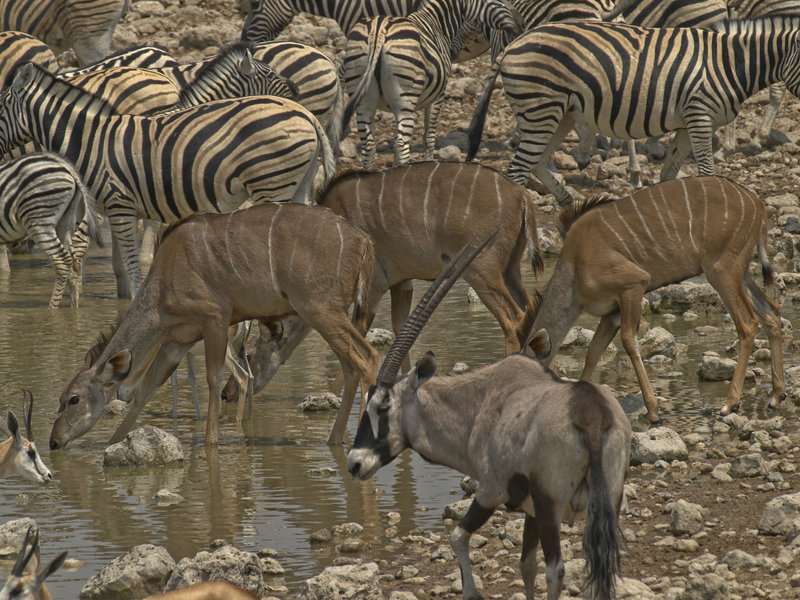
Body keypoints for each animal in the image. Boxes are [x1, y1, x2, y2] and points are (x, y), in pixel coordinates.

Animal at [0, 152, 101, 309]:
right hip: (65, 221)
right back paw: (74, 307)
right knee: (73, 262)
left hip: (39, 218)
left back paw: (52, 308)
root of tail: (67, 168)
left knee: (62, 260)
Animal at [341, 0, 522, 168]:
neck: (436, 22)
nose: (521, 24)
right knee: (401, 144)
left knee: (369, 145)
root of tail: (379, 31)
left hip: (363, 100)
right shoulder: (438, 95)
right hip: (405, 98)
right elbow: (428, 137)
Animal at [467, 17, 800, 205]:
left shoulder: (686, 123)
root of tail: (514, 44)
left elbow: (668, 172)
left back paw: (568, 205)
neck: (730, 63)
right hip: (541, 109)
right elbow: (706, 171)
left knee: (536, 163)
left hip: (560, 115)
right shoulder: (699, 114)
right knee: (518, 170)